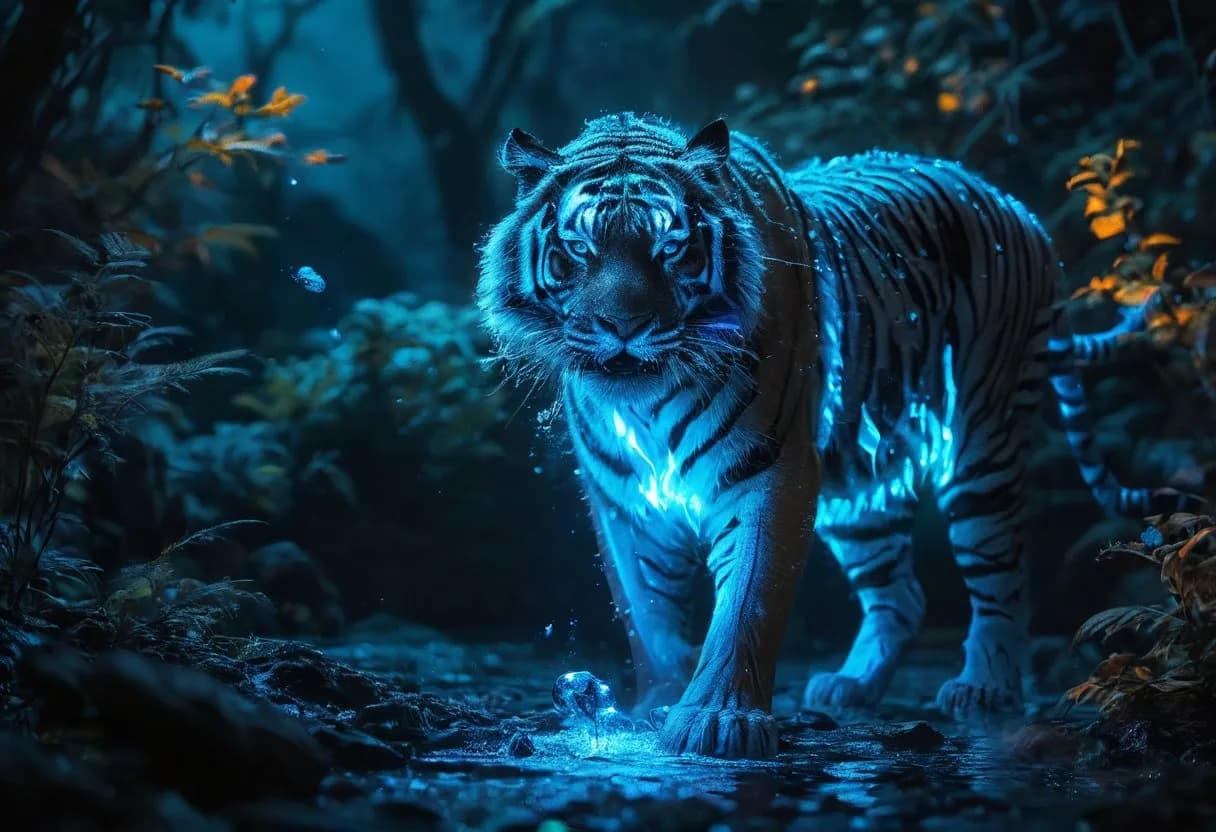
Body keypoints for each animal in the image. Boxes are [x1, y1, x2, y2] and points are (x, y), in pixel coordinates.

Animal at [477, 112, 1192, 759]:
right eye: (580, 249)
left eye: (671, 247)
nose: (622, 327)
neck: (644, 402)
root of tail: (1020, 208)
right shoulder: (624, 503)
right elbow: (649, 616)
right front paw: (655, 705)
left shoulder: (767, 470)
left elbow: (747, 604)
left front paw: (717, 719)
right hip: (863, 495)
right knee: (902, 595)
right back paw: (851, 686)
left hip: (984, 438)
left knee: (1005, 570)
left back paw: (985, 686)